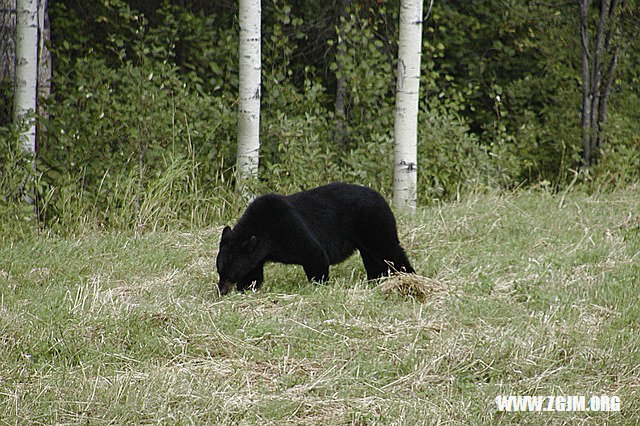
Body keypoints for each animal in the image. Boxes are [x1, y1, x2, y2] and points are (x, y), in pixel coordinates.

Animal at [215, 183, 416, 296]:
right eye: (219, 271)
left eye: (230, 274)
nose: (221, 291)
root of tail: (383, 200)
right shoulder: (256, 253)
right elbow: (253, 272)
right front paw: (246, 288)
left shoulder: (289, 227)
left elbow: (315, 254)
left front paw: (319, 285)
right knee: (373, 258)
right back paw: (376, 280)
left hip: (373, 223)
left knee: (389, 250)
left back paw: (409, 277)